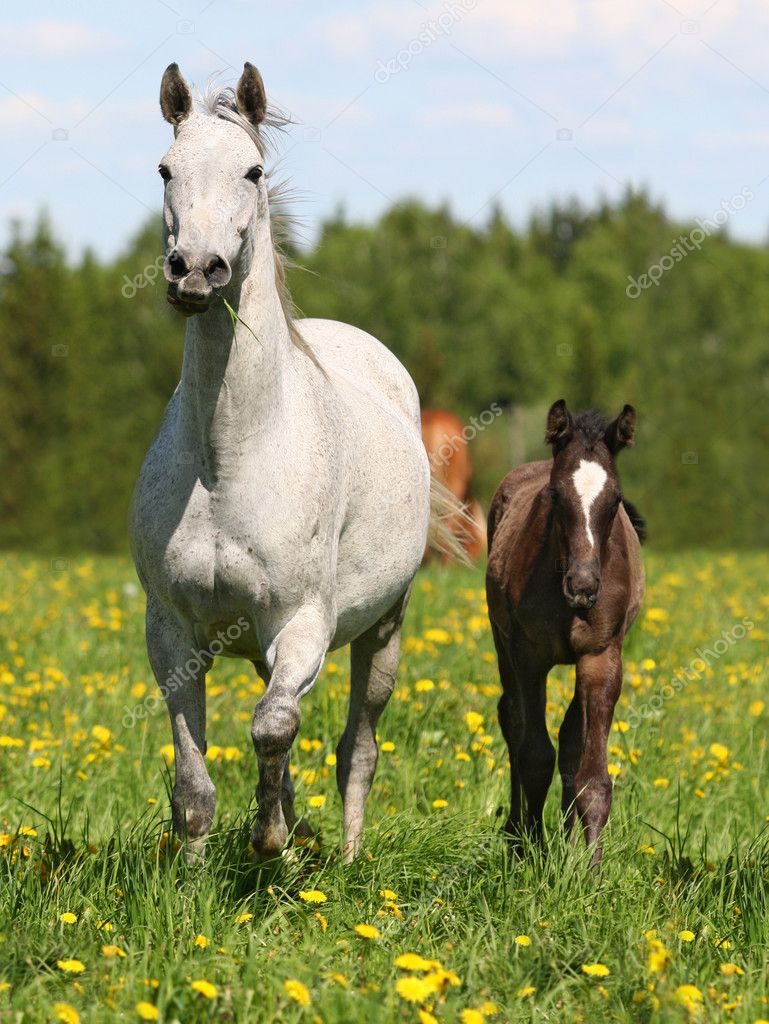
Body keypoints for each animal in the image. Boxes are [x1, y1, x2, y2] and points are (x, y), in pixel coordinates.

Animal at [131, 64, 462, 860]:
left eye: (252, 171)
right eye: (165, 169)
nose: (196, 272)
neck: (228, 459)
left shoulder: (304, 622)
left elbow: (274, 726)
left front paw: (271, 838)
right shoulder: (171, 633)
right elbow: (193, 784)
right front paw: (197, 873)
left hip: (383, 630)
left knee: (356, 747)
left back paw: (343, 854)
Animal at [487, 399, 643, 864]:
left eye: (616, 499)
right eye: (555, 495)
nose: (584, 586)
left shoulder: (600, 657)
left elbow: (591, 775)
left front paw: (587, 870)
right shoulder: (528, 655)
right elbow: (534, 754)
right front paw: (530, 852)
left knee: (571, 739)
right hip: (501, 641)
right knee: (513, 720)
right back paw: (516, 832)